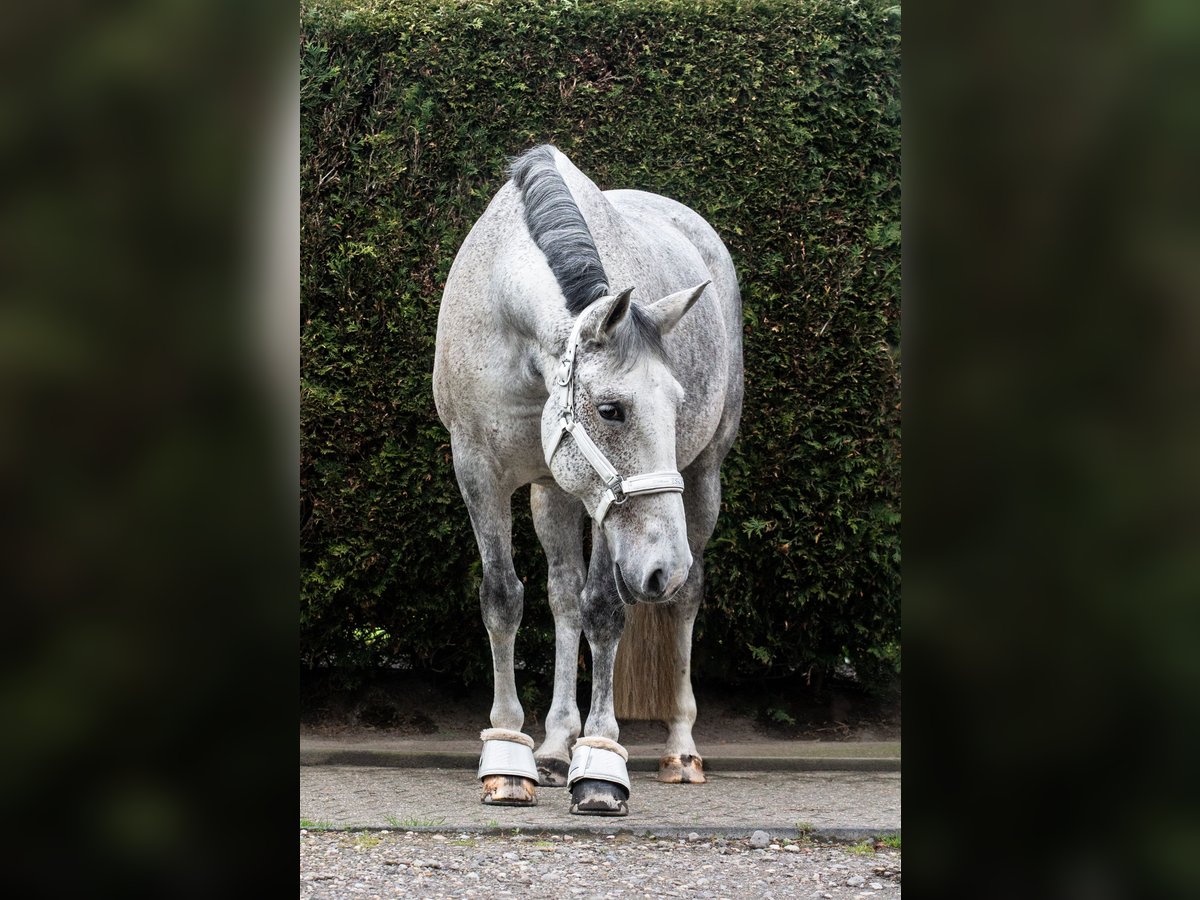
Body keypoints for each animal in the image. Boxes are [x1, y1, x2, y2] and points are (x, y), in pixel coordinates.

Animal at [432, 146, 739, 816]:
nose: (662, 567)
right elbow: (506, 598)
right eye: (611, 409)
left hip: (703, 481)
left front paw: (600, 765)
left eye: (677, 402)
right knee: (563, 595)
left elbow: (605, 610)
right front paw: (509, 757)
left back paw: (680, 750)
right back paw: (552, 748)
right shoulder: (478, 470)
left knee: (686, 600)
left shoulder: (610, 509)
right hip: (553, 493)